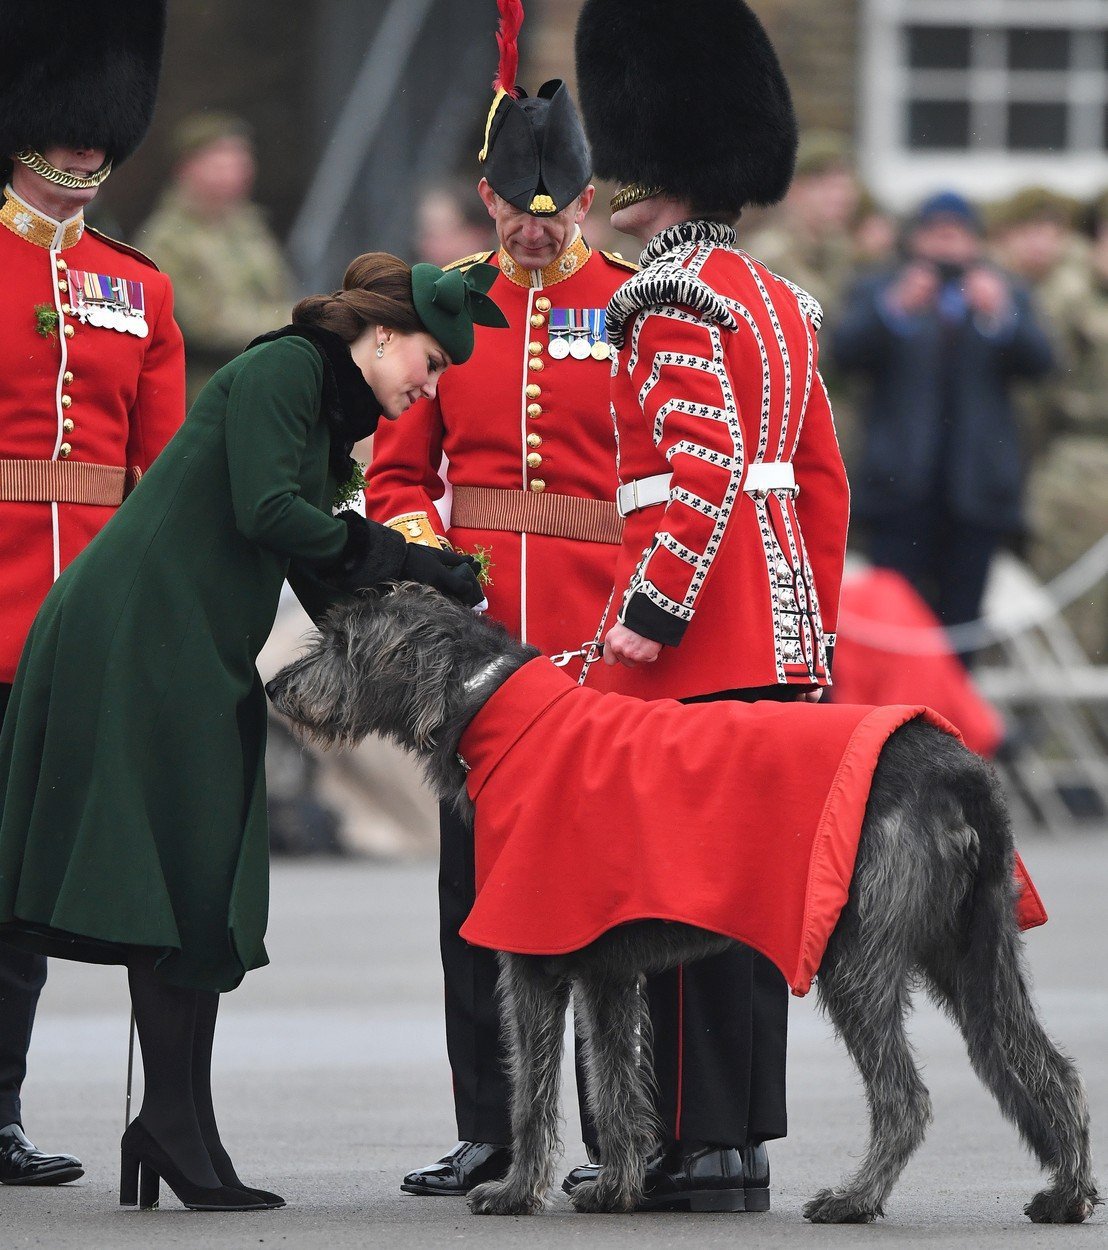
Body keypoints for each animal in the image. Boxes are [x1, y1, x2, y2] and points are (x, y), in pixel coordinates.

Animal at [266, 582, 1100, 1220]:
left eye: (341, 643)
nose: (274, 688)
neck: (496, 707)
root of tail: (959, 766)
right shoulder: (607, 972)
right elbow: (615, 1083)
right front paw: (618, 1186)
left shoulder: (533, 958)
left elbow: (533, 1090)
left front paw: (514, 1191)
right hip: (975, 954)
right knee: (1044, 1065)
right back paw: (1065, 1193)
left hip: (856, 957)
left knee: (906, 1096)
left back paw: (856, 1200)